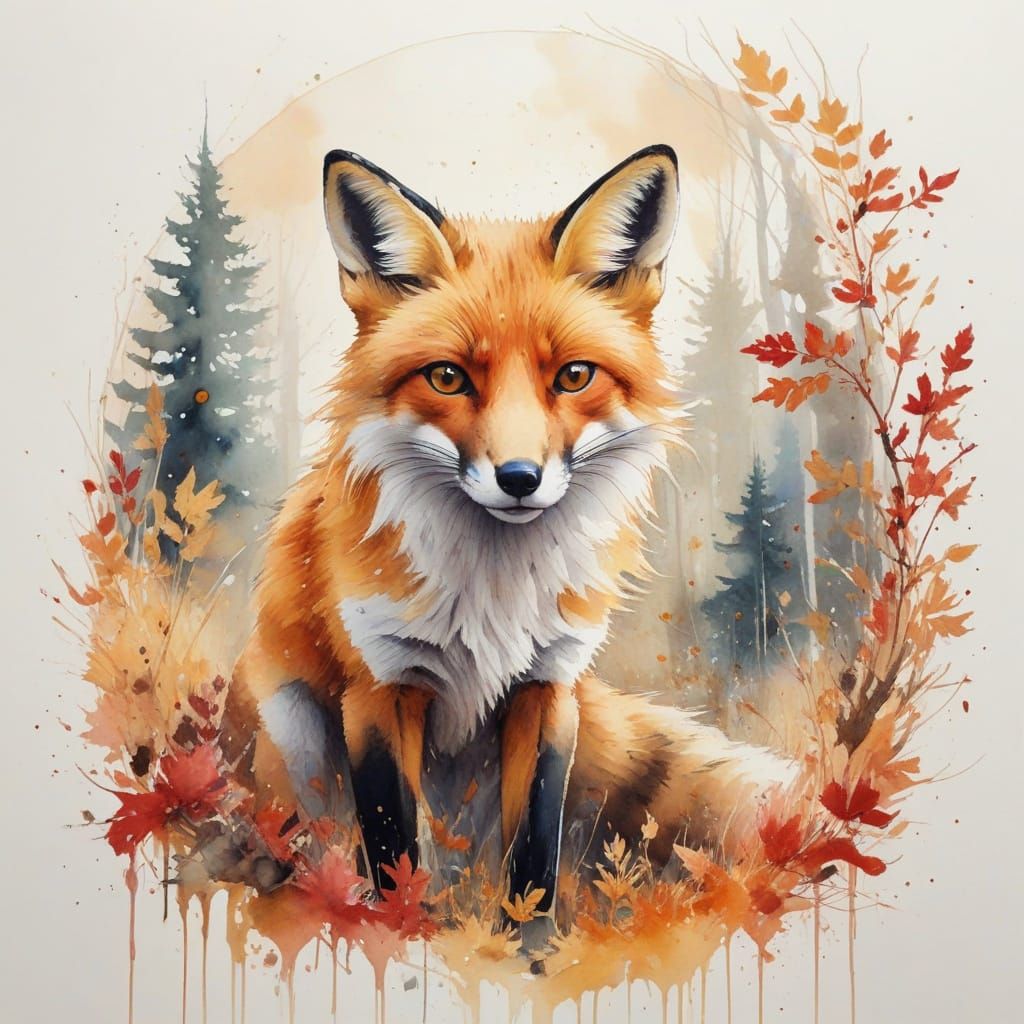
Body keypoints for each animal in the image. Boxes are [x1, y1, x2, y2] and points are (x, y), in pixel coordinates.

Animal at [221, 144, 794, 928]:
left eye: (574, 376)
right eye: (448, 377)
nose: (520, 478)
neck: (494, 591)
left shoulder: (548, 687)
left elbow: (534, 852)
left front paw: (527, 945)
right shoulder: (378, 688)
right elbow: (395, 851)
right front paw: (404, 937)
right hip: (295, 727)